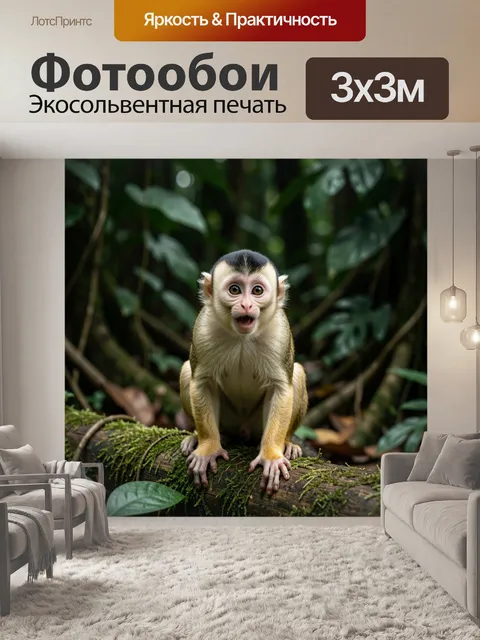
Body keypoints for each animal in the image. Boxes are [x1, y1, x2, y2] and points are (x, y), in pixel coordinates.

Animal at [179, 249, 308, 495]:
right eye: (235, 290)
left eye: (257, 291)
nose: (247, 305)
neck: (242, 337)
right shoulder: (203, 329)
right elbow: (202, 382)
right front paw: (208, 448)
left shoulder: (280, 332)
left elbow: (280, 387)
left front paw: (271, 455)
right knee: (186, 371)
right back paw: (204, 437)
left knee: (296, 373)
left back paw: (286, 443)